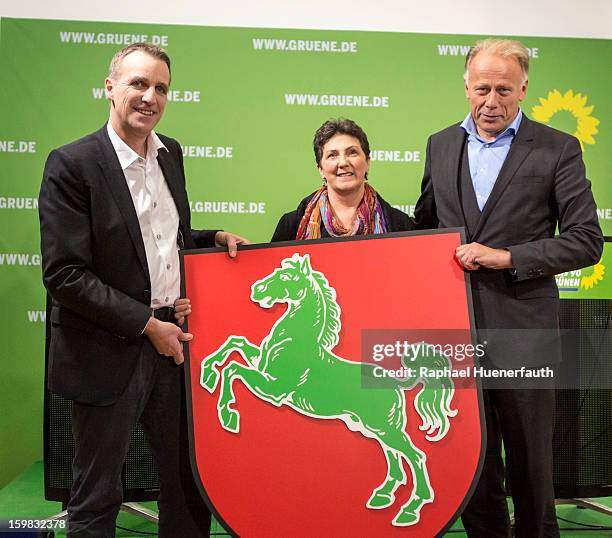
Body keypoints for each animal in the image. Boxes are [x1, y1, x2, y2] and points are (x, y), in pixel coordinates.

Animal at [198, 252, 456, 524]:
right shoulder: (261, 366)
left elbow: (233, 370)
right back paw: (382, 497)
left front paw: (228, 415)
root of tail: (395, 381)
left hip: (384, 427)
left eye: (286, 276)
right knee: (393, 456)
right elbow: (235, 343)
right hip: (372, 427)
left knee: (415, 456)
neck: (296, 341)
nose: (256, 290)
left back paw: (410, 510)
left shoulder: (274, 388)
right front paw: (207, 375)